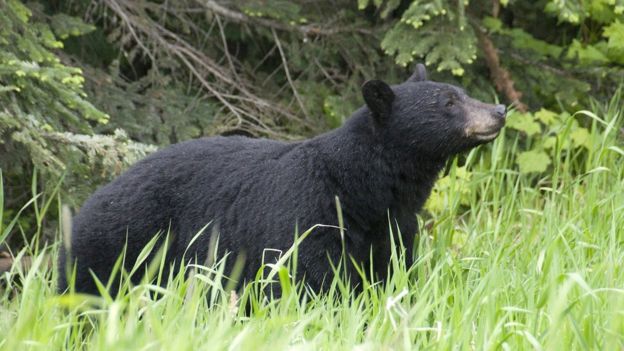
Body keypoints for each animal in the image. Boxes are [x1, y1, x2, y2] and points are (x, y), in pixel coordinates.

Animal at [57, 64, 508, 296]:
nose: (500, 110)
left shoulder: (392, 226)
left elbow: (388, 273)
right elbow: (307, 279)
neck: (362, 189)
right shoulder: (307, 214)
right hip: (121, 244)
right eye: (448, 103)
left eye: (461, 92)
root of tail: (90, 200)